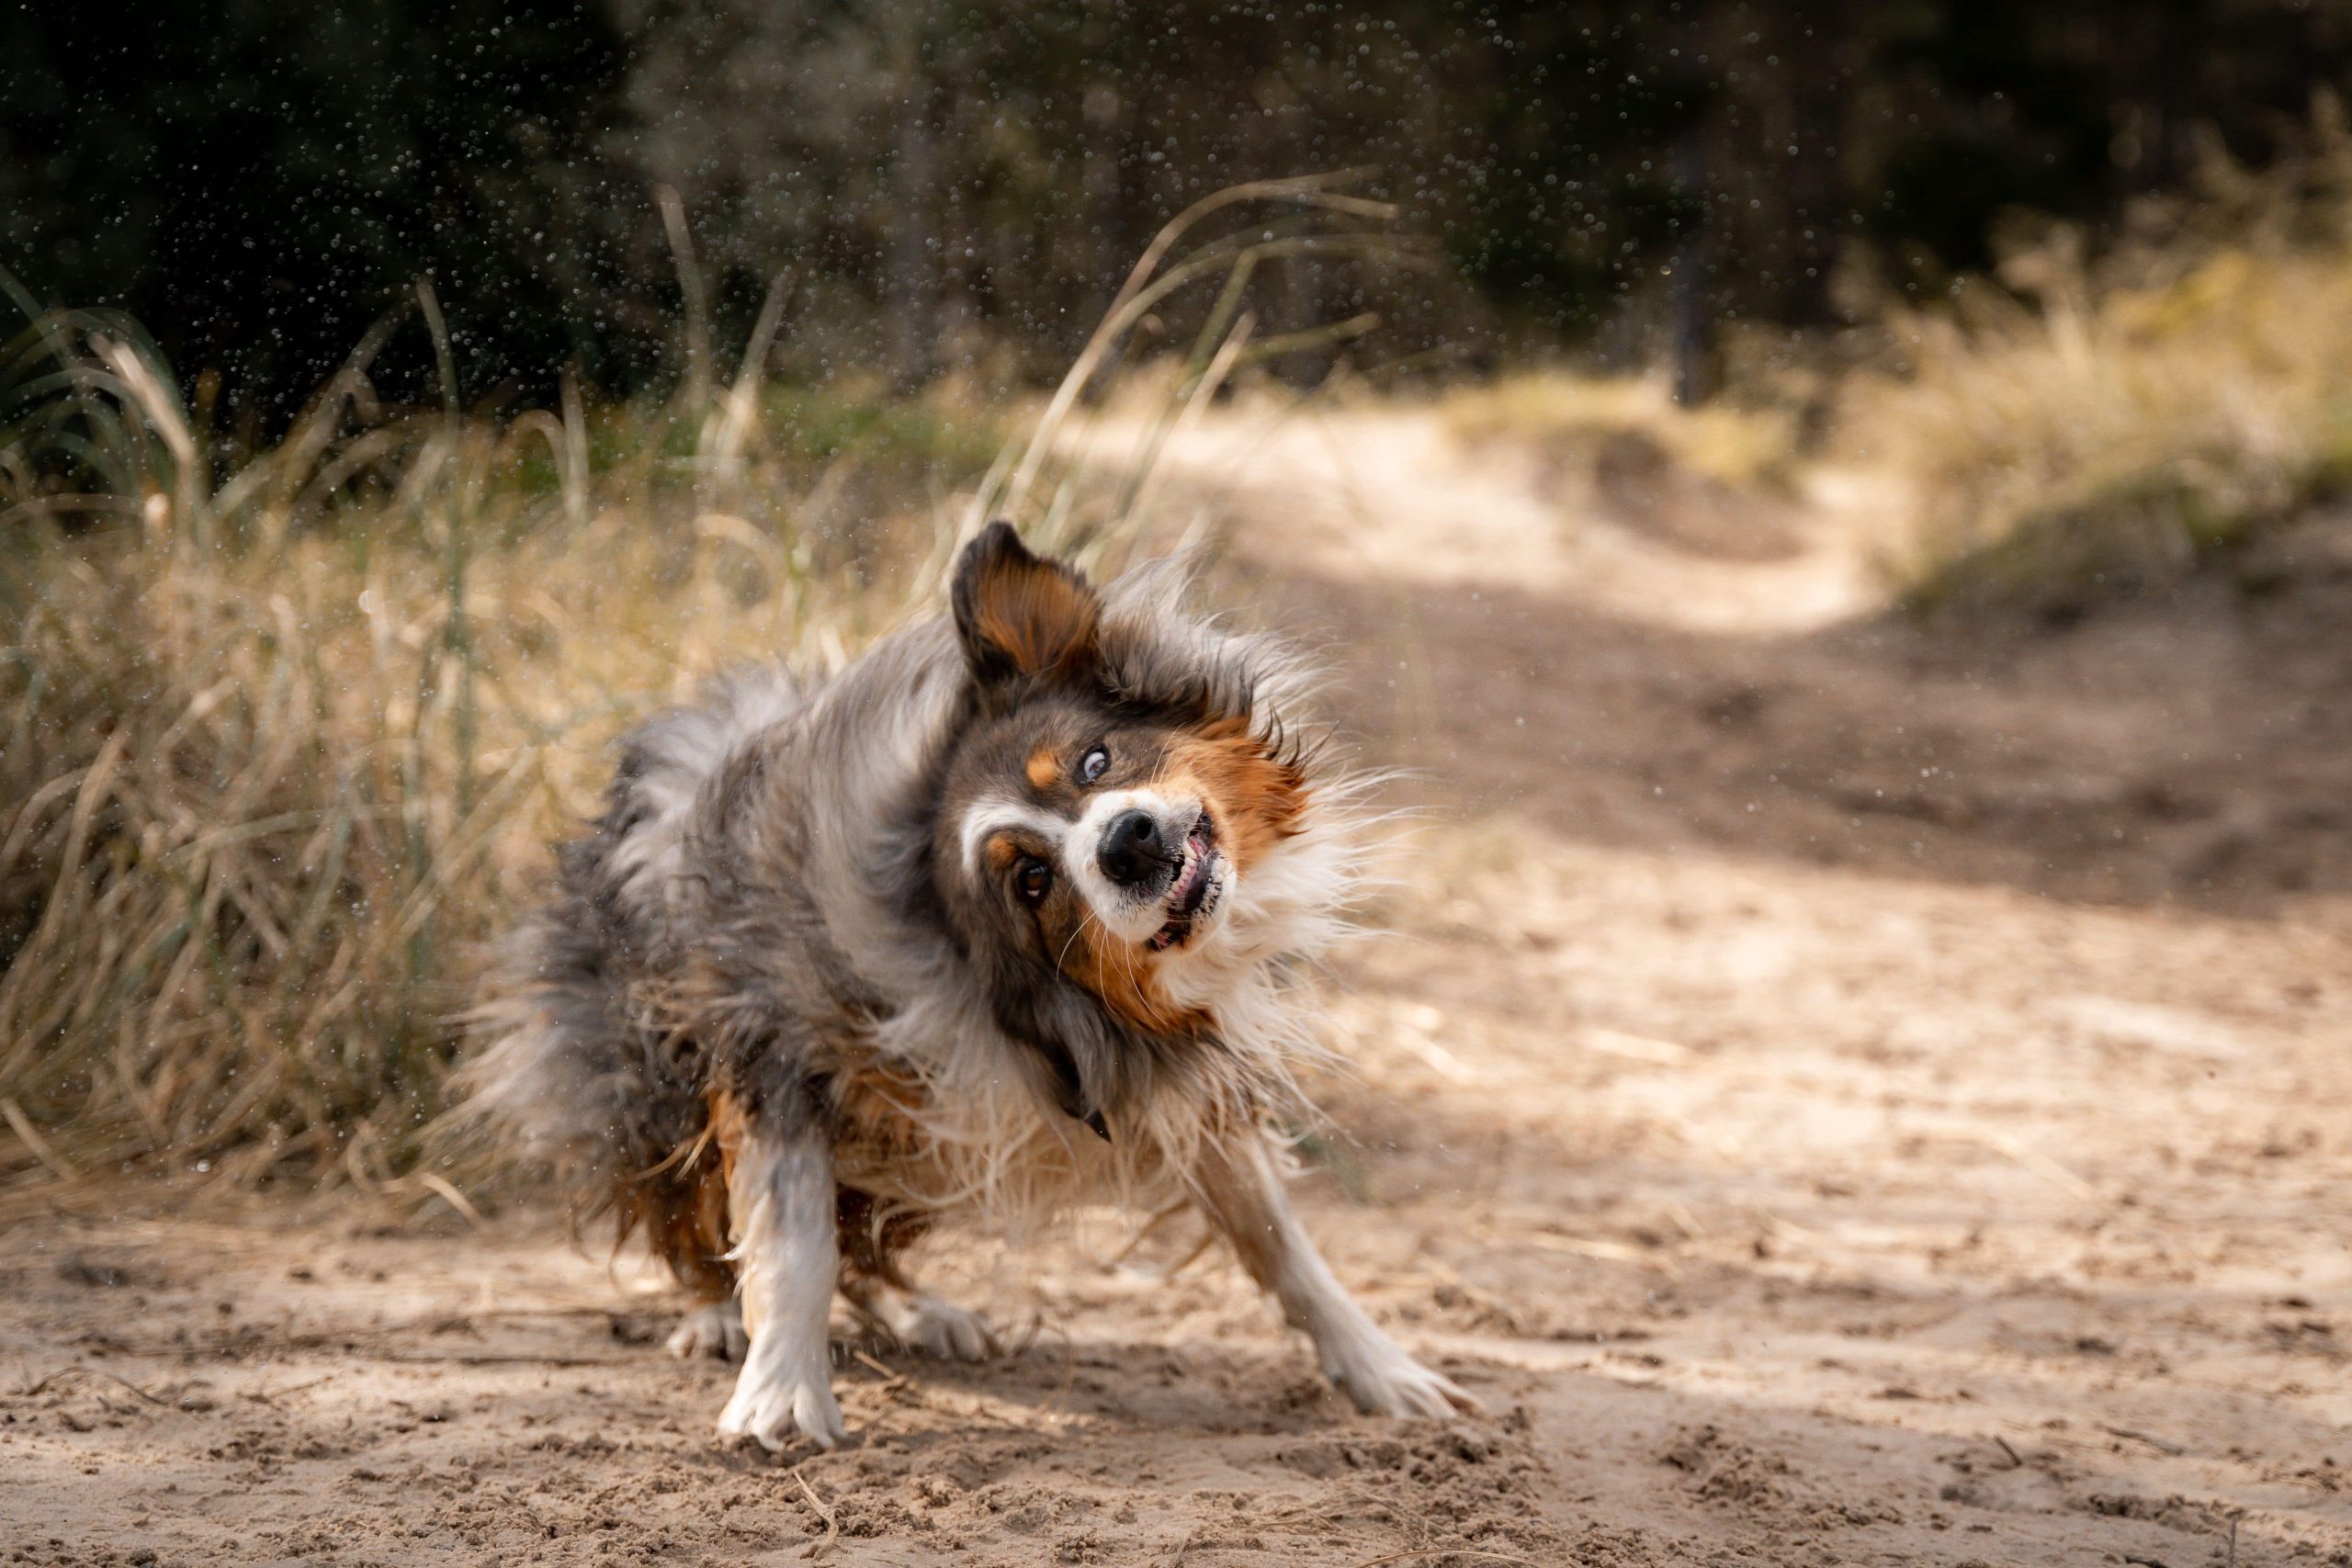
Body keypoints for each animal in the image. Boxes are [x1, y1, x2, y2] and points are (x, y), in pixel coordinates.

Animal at [463, 524, 1467, 1448]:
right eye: (1031, 883)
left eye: (1095, 761)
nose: (1128, 843)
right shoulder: (778, 1050)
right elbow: (790, 1238)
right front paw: (781, 1392)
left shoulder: (1174, 1084)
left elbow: (1279, 1241)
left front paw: (1384, 1371)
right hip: (652, 1076)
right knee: (693, 1203)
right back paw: (714, 1312)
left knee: (865, 1231)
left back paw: (921, 1311)